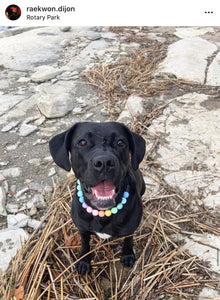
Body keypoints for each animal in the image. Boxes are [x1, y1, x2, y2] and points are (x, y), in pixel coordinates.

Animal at [49, 121, 146, 274]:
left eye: (120, 142)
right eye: (82, 142)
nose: (104, 162)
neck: (103, 214)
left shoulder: (130, 228)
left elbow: (128, 240)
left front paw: (127, 254)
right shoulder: (82, 228)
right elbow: (85, 243)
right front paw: (84, 260)